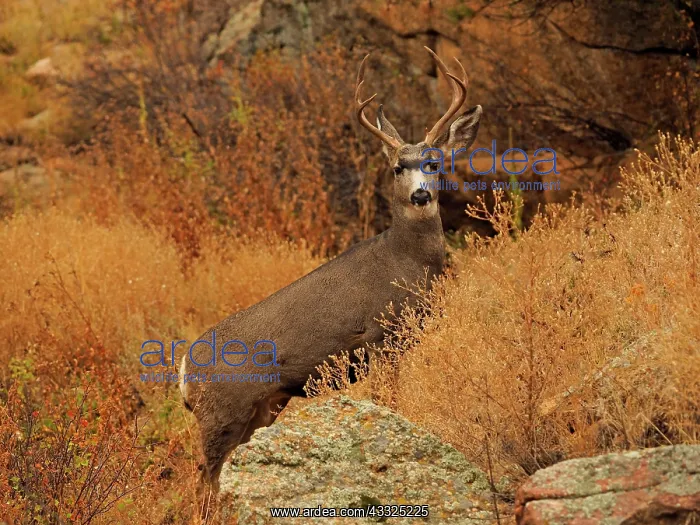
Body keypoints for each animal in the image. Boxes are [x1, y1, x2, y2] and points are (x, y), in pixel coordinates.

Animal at [180, 46, 482, 499]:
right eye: (397, 167)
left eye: (434, 162)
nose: (420, 195)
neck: (405, 262)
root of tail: (184, 371)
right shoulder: (378, 335)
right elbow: (388, 403)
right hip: (221, 412)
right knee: (202, 479)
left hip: (263, 407)